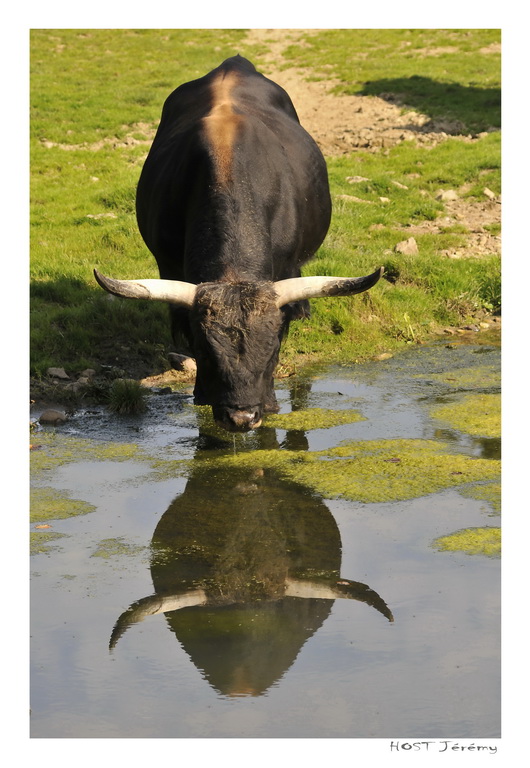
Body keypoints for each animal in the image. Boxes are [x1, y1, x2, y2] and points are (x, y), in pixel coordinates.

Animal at [95, 55, 382, 432]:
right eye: (205, 350)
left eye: (272, 349)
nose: (242, 417)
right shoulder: (168, 267)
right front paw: (202, 392)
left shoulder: (285, 268)